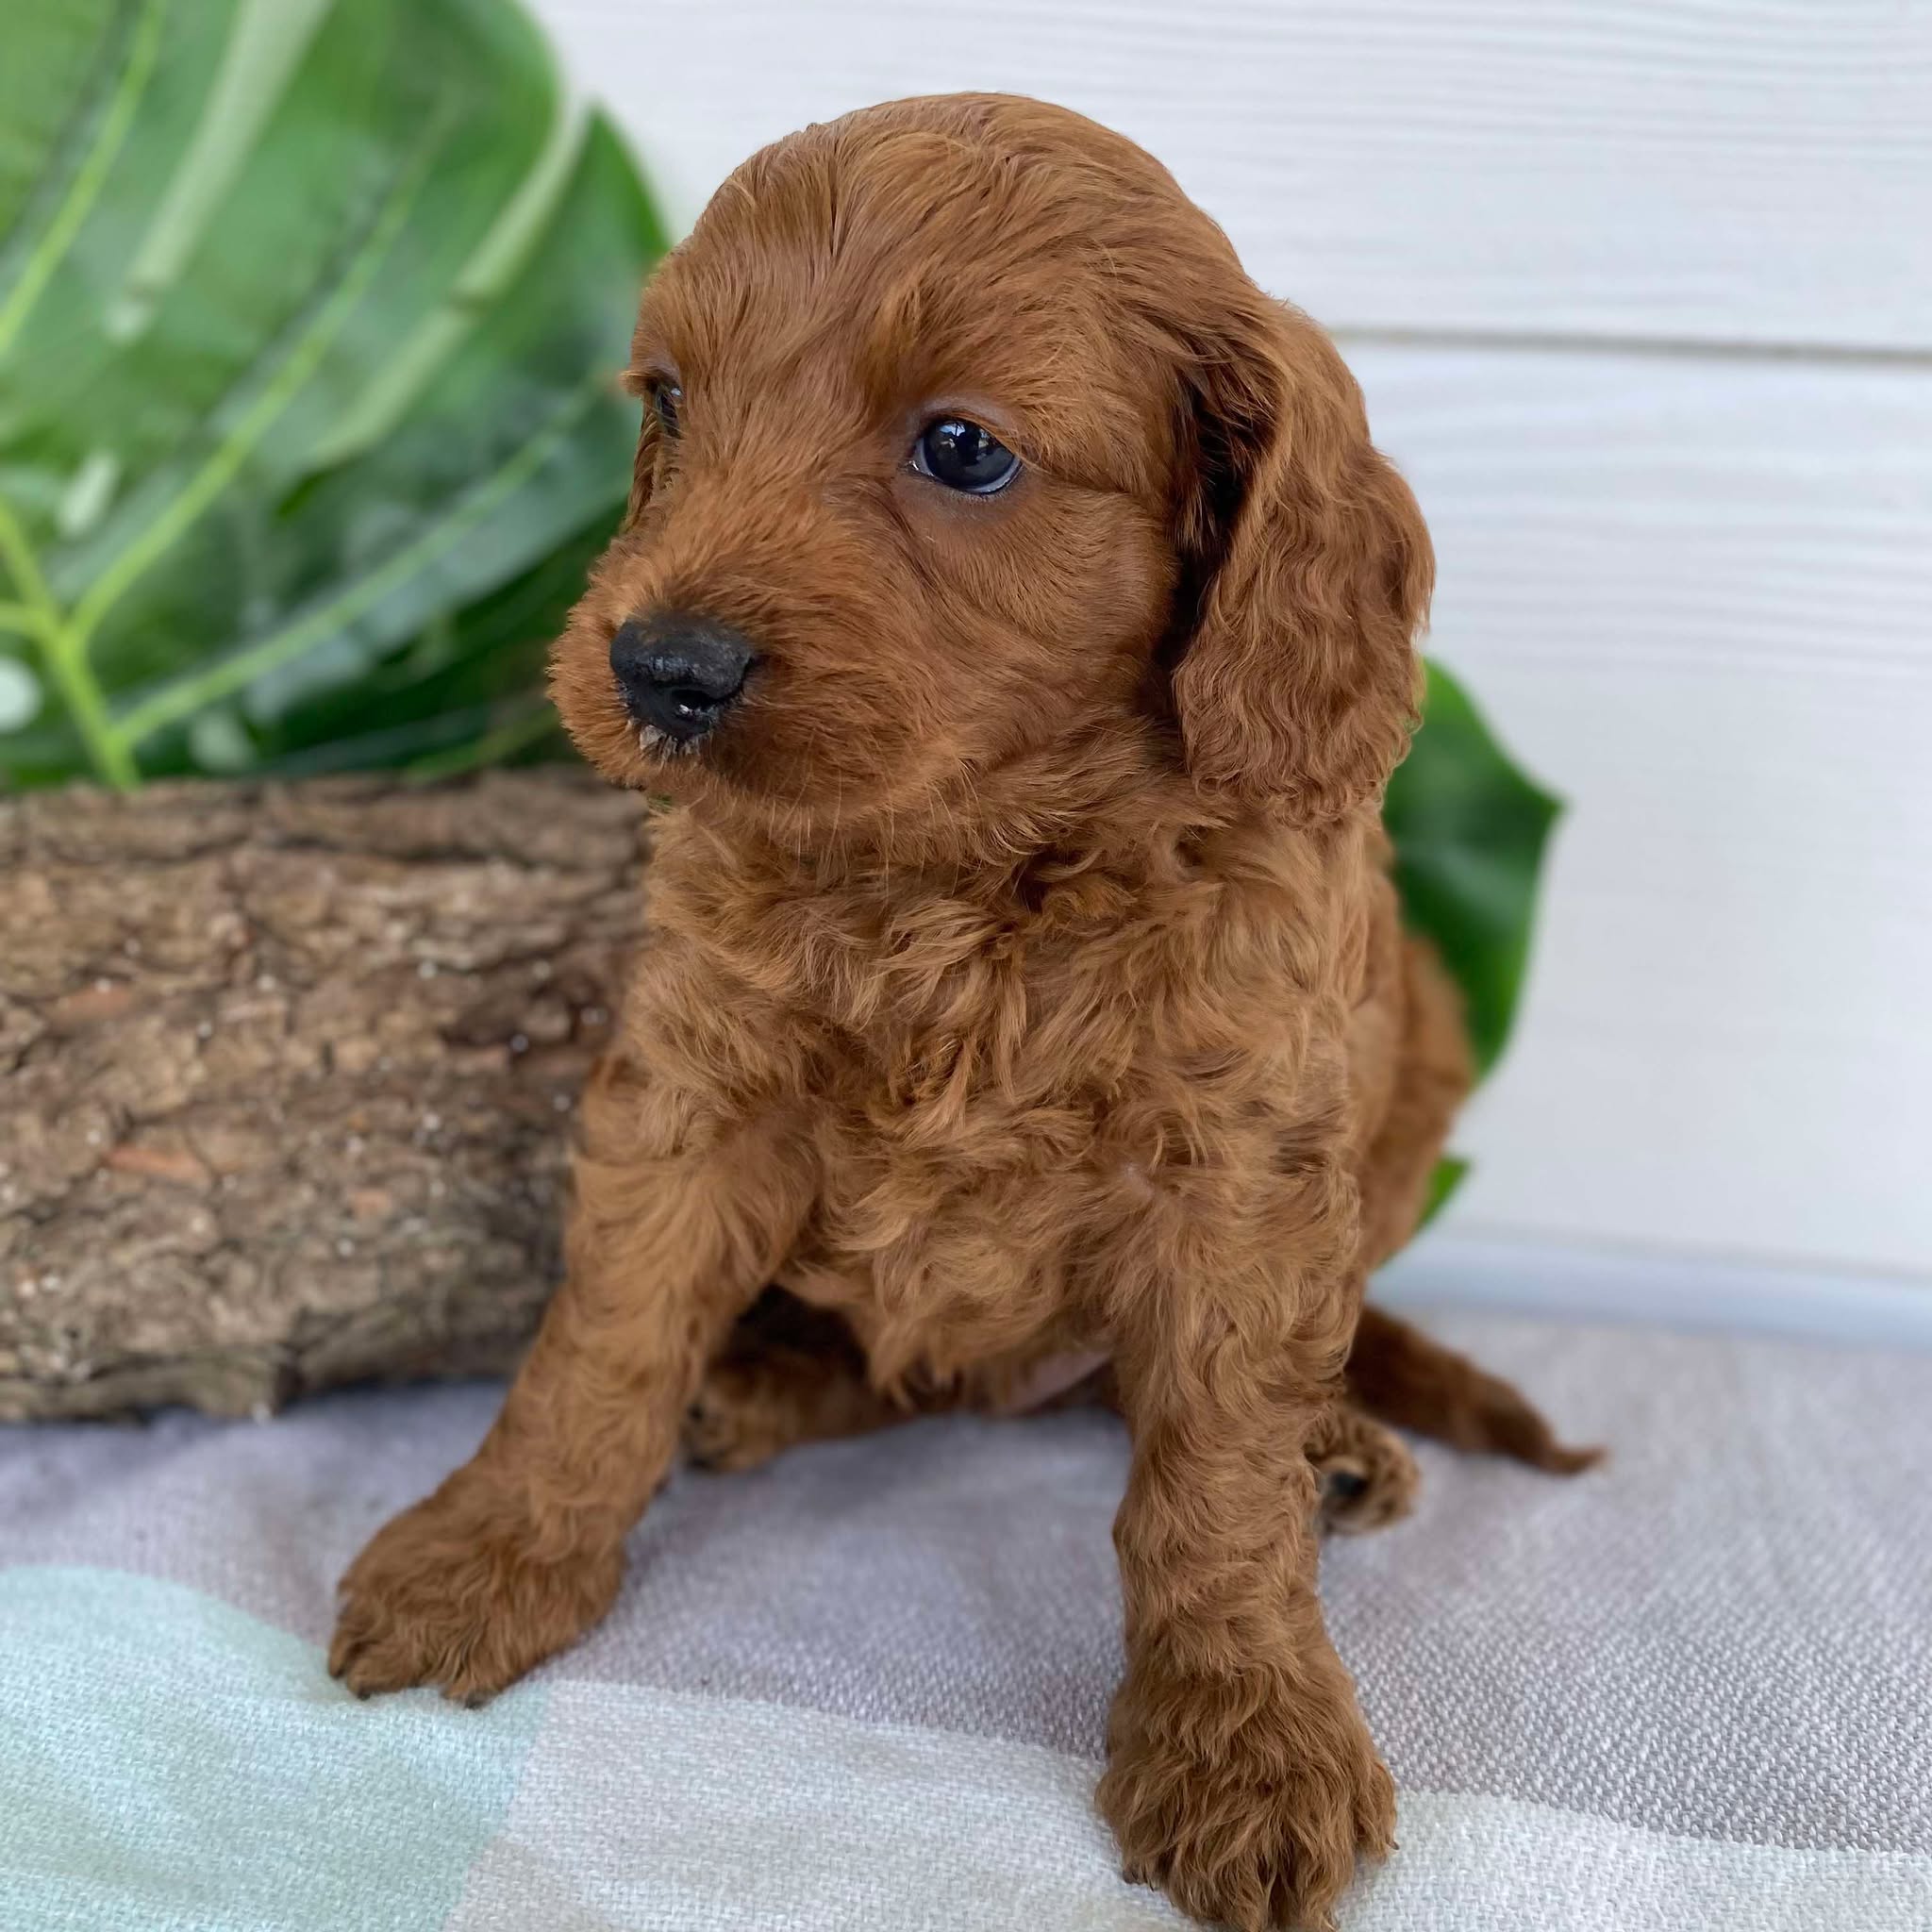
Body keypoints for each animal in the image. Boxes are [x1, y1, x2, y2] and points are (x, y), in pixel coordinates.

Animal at [336, 93, 1584, 1932]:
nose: (660, 670)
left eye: (963, 451)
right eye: (670, 401)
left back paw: (1338, 1451)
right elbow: (602, 1340)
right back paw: (756, 1387)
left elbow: (1213, 1472)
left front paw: (1243, 1742)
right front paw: (490, 1551)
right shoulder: (690, 1091)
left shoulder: (1240, 1162)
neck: (960, 861)